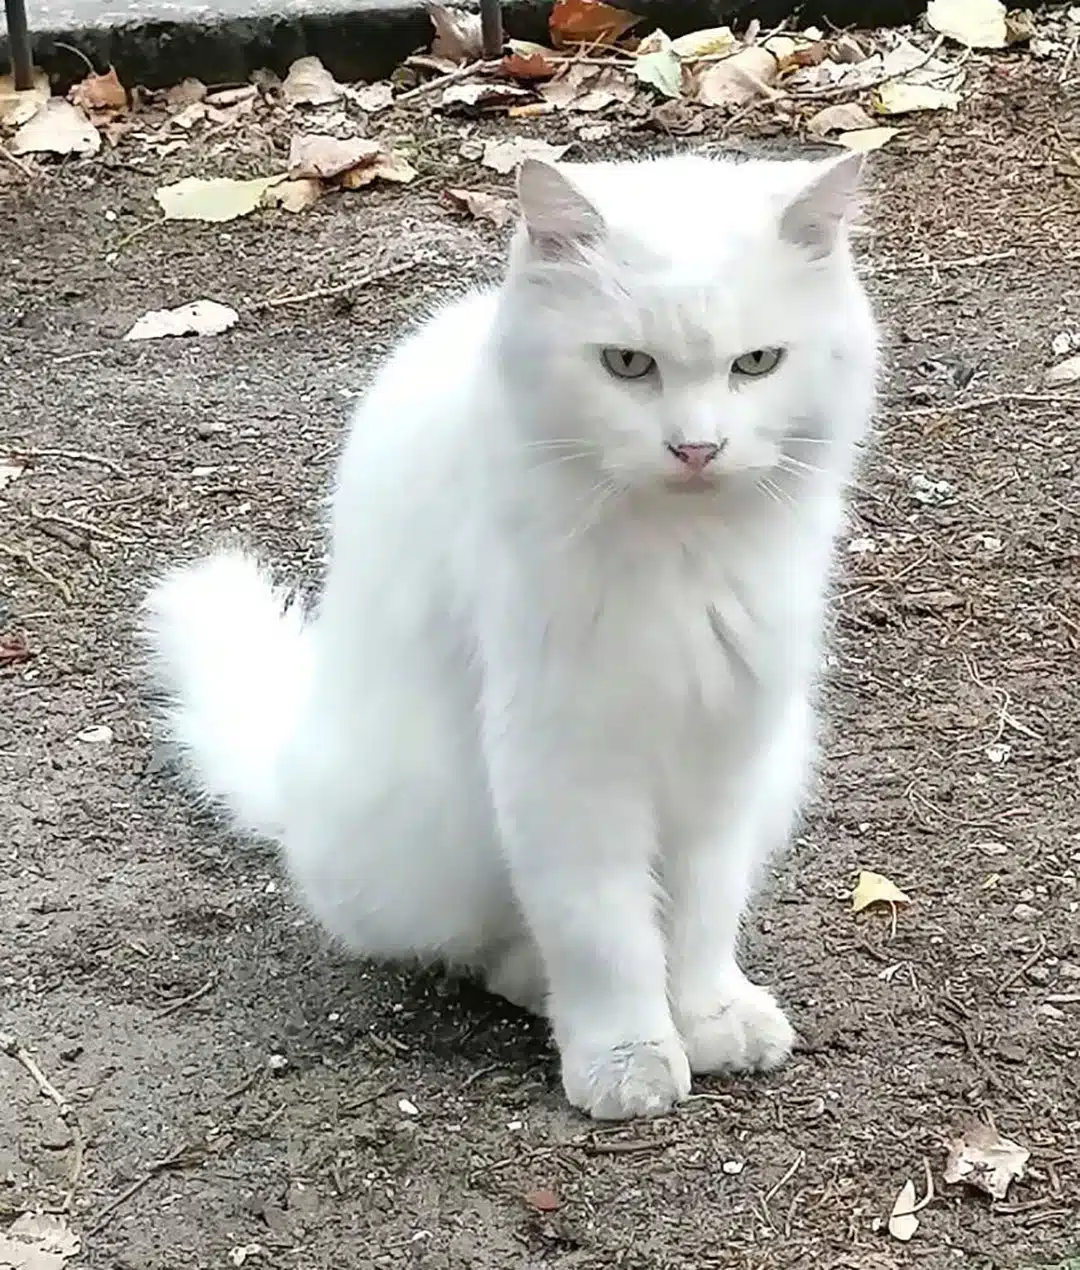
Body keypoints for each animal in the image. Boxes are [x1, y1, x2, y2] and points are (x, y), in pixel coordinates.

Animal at [144, 151, 878, 1121]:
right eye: (627, 365)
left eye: (756, 364)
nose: (696, 449)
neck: (683, 554)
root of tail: (294, 777)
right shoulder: (561, 758)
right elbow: (603, 929)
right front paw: (627, 1055)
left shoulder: (725, 747)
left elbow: (702, 910)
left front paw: (708, 1015)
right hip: (430, 820)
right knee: (492, 949)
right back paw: (541, 989)